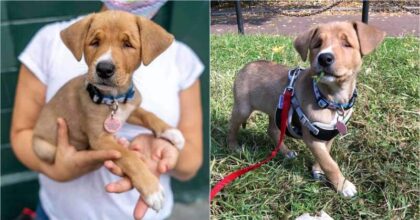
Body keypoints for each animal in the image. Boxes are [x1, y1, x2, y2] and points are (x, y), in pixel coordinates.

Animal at [32, 10, 184, 211]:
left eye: (127, 44)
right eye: (94, 42)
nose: (104, 68)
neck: (114, 99)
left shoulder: (130, 109)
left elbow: (147, 114)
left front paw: (170, 131)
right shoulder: (101, 139)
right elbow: (129, 156)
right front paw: (152, 190)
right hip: (44, 148)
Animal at [228, 20, 386, 197]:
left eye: (347, 44)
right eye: (317, 44)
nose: (324, 58)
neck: (330, 99)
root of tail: (246, 66)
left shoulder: (328, 133)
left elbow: (325, 155)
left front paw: (318, 170)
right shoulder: (311, 137)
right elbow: (330, 163)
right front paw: (343, 185)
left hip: (277, 110)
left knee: (272, 130)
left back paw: (286, 152)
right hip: (243, 109)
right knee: (232, 126)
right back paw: (233, 147)